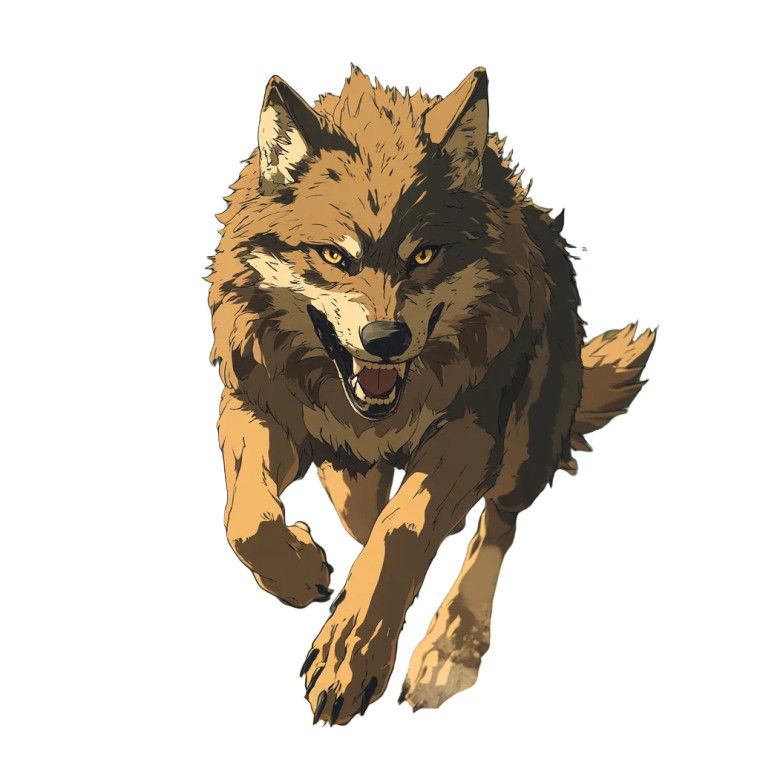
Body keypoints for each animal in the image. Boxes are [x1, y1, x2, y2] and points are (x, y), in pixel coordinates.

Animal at [207, 65, 655, 725]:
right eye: (334, 256)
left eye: (422, 255)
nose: (385, 339)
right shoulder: (259, 406)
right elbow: (247, 518)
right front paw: (301, 571)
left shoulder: (470, 432)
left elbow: (404, 528)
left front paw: (351, 653)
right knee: (361, 508)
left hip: (527, 436)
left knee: (494, 528)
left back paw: (448, 651)